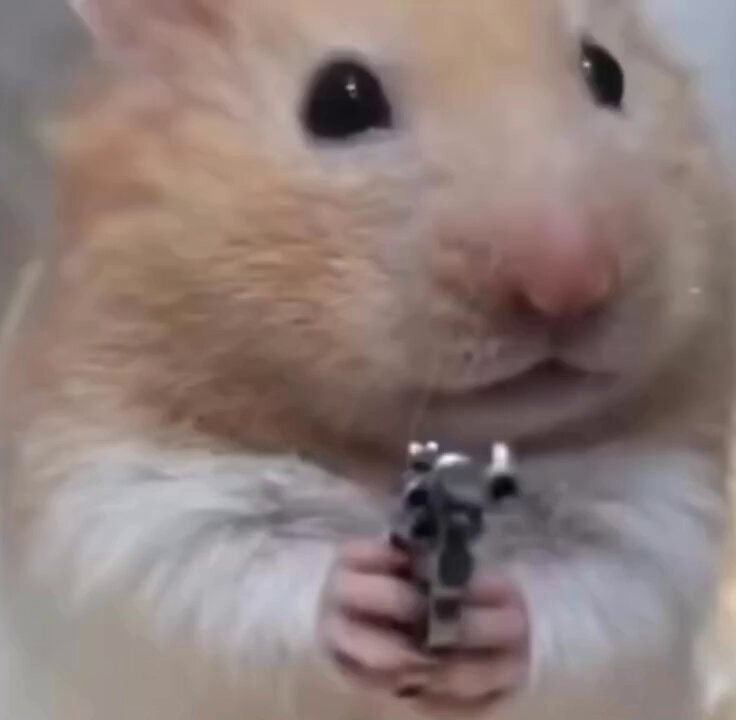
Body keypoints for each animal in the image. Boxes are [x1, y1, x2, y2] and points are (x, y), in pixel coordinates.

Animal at [0, 0, 734, 719]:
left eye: (606, 71)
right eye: (340, 101)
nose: (572, 284)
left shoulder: (663, 514)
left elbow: (599, 584)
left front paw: (492, 625)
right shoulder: (118, 502)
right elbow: (228, 573)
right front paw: (361, 598)